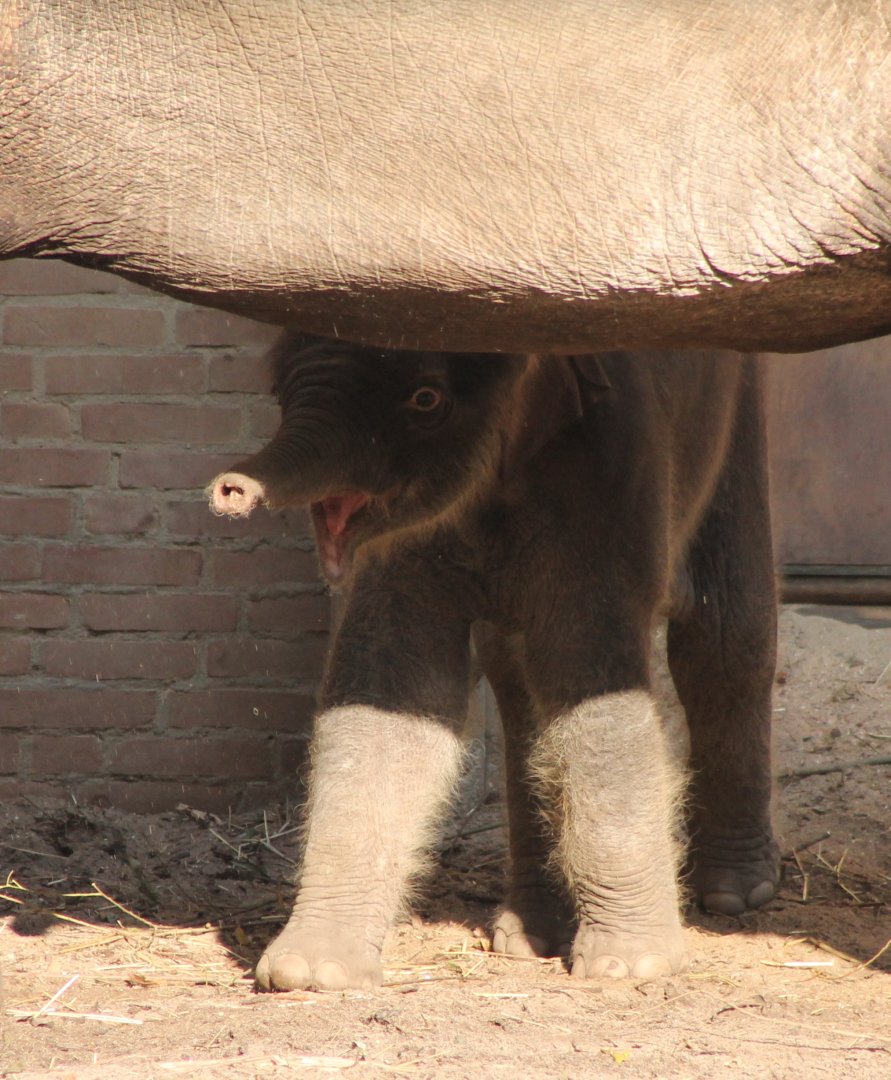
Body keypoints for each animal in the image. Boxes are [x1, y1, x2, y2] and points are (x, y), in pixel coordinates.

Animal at [208, 333, 778, 992]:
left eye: (426, 399)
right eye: (278, 390)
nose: (230, 490)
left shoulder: (611, 484)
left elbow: (593, 691)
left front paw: (628, 966)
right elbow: (390, 690)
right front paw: (311, 971)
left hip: (739, 413)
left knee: (724, 634)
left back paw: (736, 893)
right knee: (519, 685)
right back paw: (529, 937)